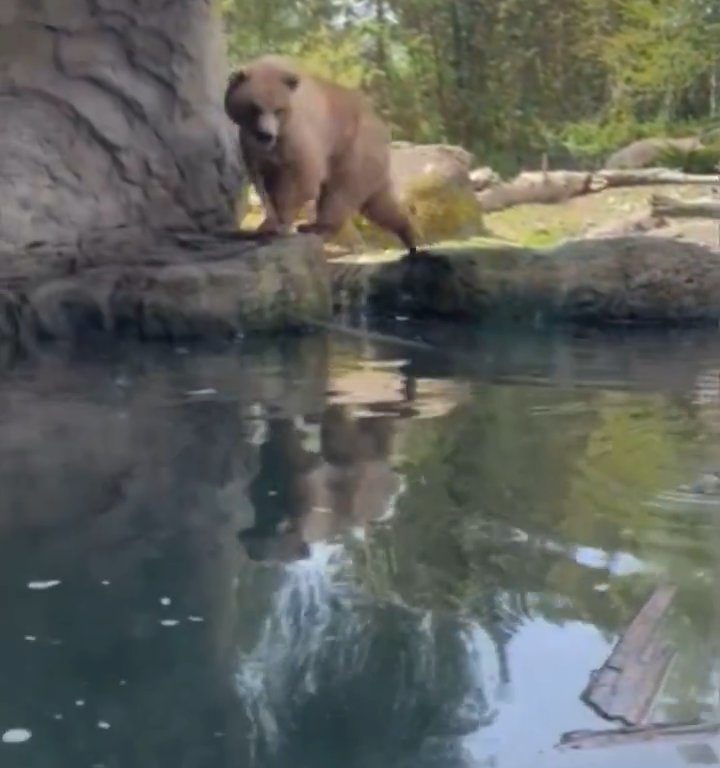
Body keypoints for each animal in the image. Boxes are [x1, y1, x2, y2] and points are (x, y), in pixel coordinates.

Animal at [225, 55, 416, 258]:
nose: (265, 135)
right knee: (380, 204)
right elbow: (262, 182)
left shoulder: (297, 136)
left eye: (278, 109)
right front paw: (267, 224)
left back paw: (315, 227)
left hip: (353, 150)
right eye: (254, 107)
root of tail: (381, 125)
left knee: (338, 194)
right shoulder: (251, 146)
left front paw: (281, 223)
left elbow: (302, 178)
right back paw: (408, 235)